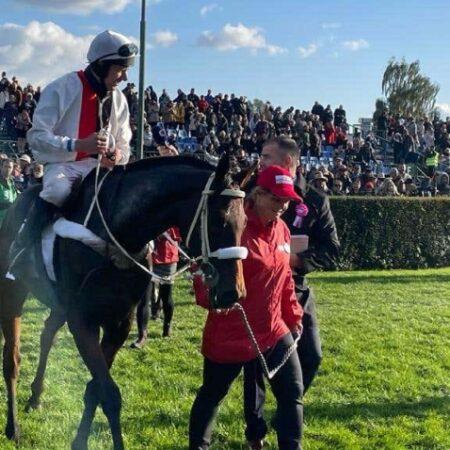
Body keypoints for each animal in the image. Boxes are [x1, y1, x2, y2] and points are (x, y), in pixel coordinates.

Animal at [0, 153, 246, 448]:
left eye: (244, 221)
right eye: (219, 220)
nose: (233, 292)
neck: (115, 235)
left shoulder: (118, 323)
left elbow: (95, 389)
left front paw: (80, 440)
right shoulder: (83, 321)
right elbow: (108, 393)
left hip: (59, 305)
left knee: (47, 333)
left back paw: (36, 395)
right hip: (13, 294)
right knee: (12, 360)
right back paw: (13, 427)